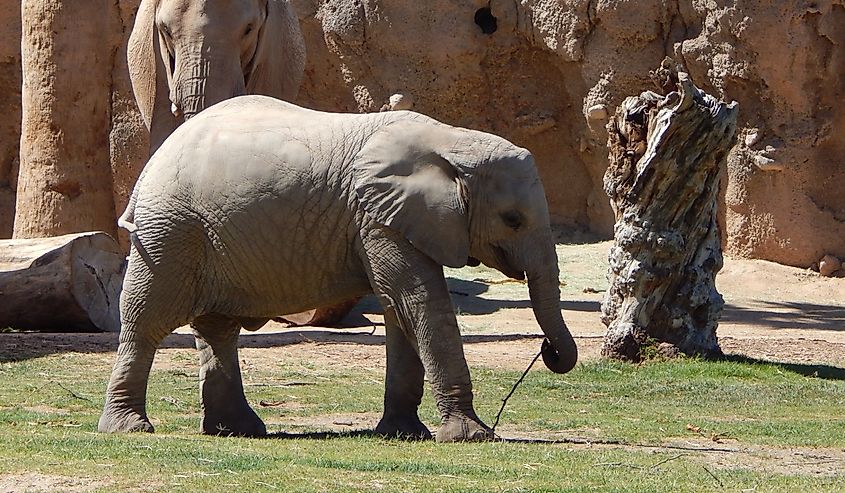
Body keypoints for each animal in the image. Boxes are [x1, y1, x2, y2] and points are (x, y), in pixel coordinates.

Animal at [97, 94, 572, 440]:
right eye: (513, 219)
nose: (547, 350)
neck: (451, 139)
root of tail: (150, 166)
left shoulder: (384, 219)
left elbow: (399, 309)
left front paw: (405, 434)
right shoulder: (378, 217)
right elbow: (418, 302)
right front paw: (470, 436)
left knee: (218, 328)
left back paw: (237, 431)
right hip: (170, 231)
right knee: (146, 321)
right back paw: (130, 429)